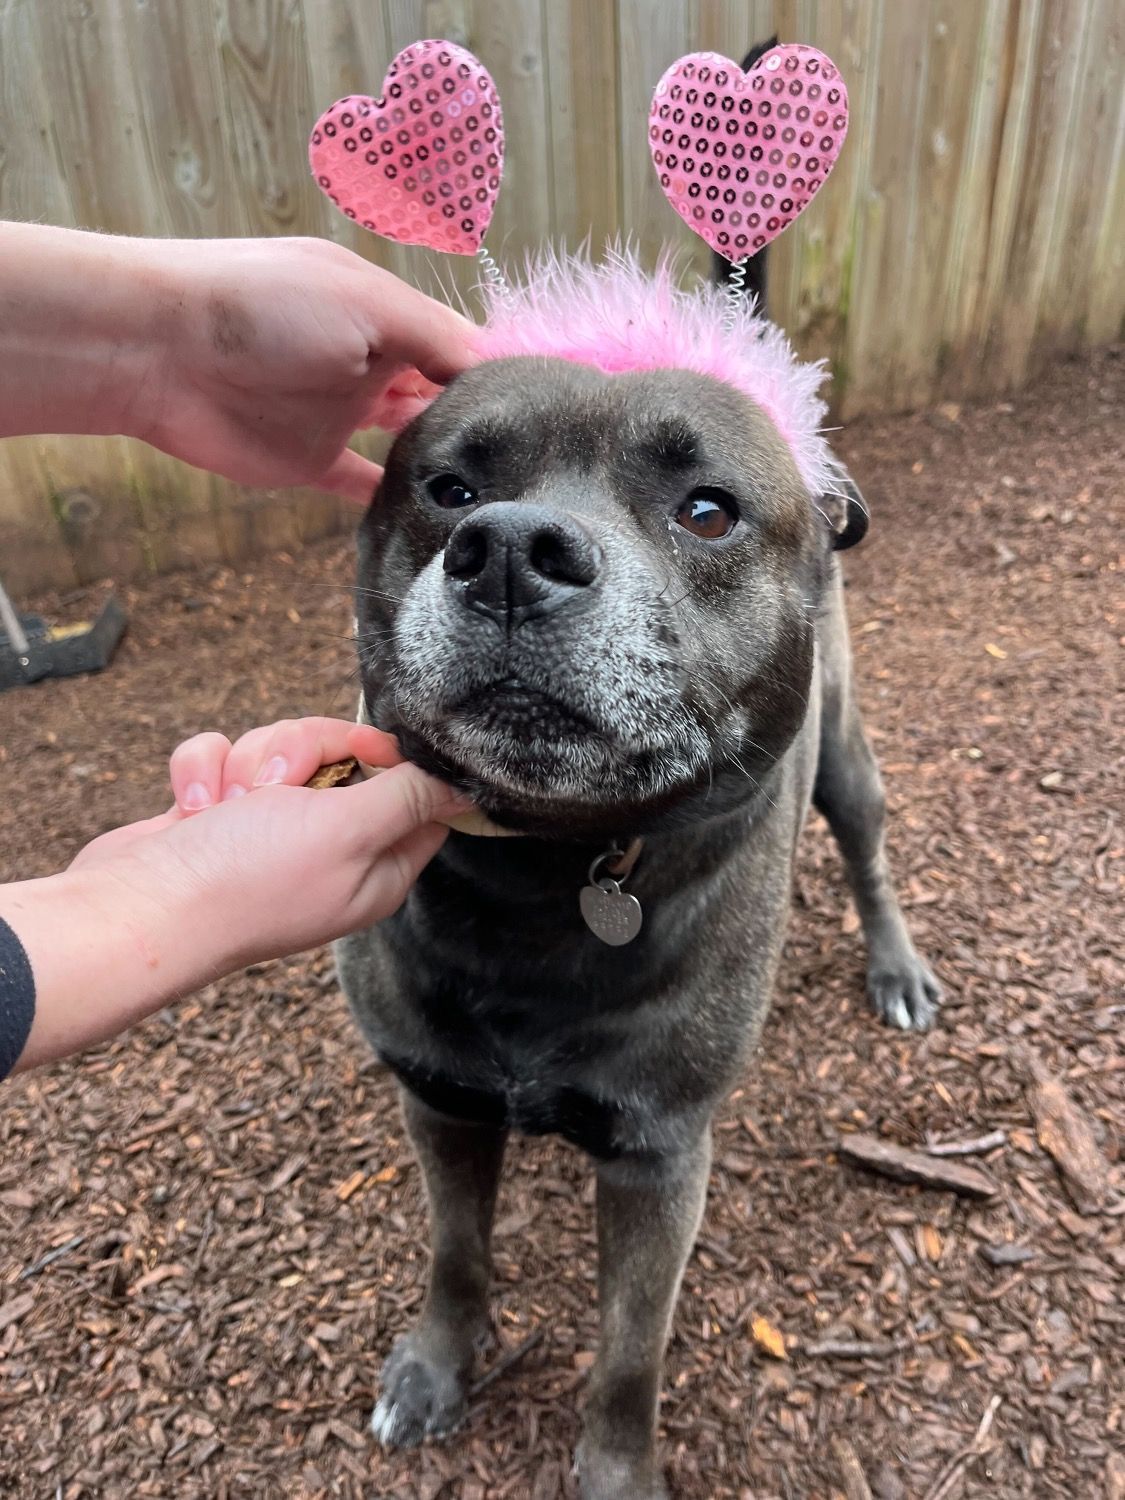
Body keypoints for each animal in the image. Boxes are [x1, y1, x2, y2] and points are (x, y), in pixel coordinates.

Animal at [337, 282, 942, 1500]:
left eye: (706, 511)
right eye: (448, 488)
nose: (507, 551)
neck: (544, 867)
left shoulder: (660, 1162)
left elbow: (629, 1355)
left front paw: (616, 1472)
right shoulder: (438, 1100)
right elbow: (454, 1251)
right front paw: (435, 1364)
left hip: (847, 763)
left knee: (868, 851)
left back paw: (895, 965)